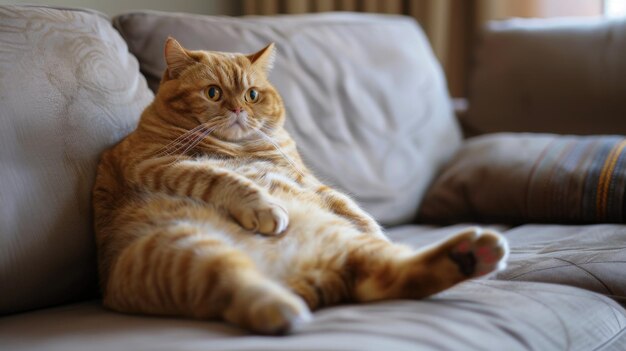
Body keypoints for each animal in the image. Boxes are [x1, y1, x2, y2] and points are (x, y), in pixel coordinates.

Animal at [92, 37, 508, 336]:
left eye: (252, 94)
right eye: (213, 93)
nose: (238, 110)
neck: (242, 146)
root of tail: (305, 275)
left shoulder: (309, 182)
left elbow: (354, 210)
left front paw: (379, 230)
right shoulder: (158, 165)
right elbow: (225, 178)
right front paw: (265, 208)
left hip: (349, 252)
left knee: (391, 276)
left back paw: (472, 254)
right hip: (184, 247)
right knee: (236, 285)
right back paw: (283, 309)